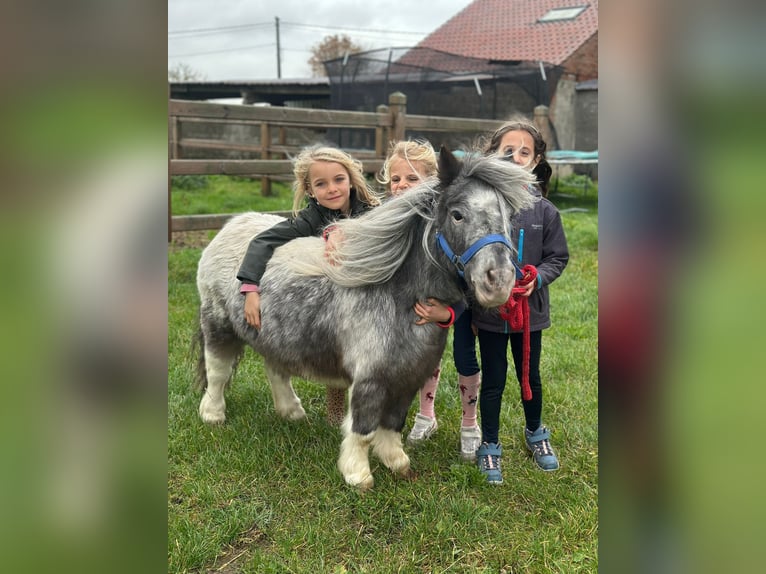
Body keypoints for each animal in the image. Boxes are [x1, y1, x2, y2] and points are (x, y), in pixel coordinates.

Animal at [195, 147, 536, 489]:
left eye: (507, 216)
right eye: (457, 214)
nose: (499, 280)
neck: (395, 295)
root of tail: (230, 227)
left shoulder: (409, 374)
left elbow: (393, 422)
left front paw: (397, 462)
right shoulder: (370, 379)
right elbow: (363, 427)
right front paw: (358, 475)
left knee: (275, 369)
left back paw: (291, 412)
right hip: (218, 326)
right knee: (218, 370)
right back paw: (213, 415)